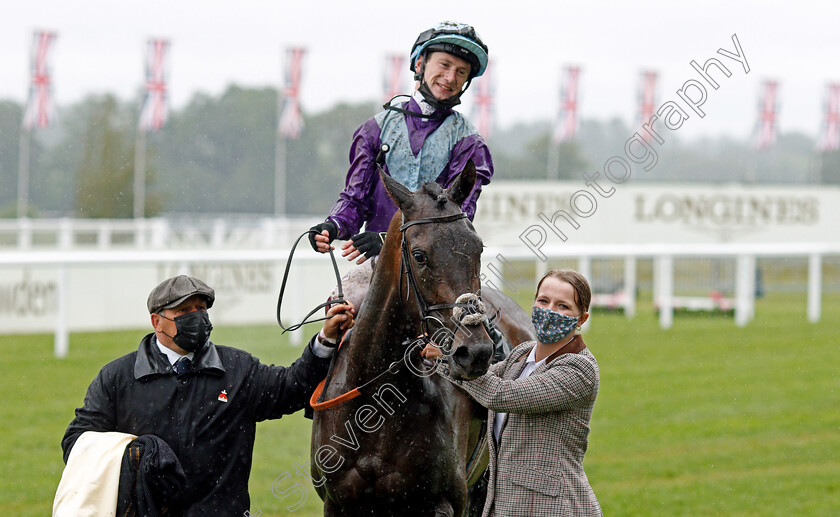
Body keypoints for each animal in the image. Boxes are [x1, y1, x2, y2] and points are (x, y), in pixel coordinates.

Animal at [312, 162, 536, 516]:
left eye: (478, 249)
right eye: (419, 256)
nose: (475, 352)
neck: (377, 404)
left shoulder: (443, 502)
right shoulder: (338, 503)